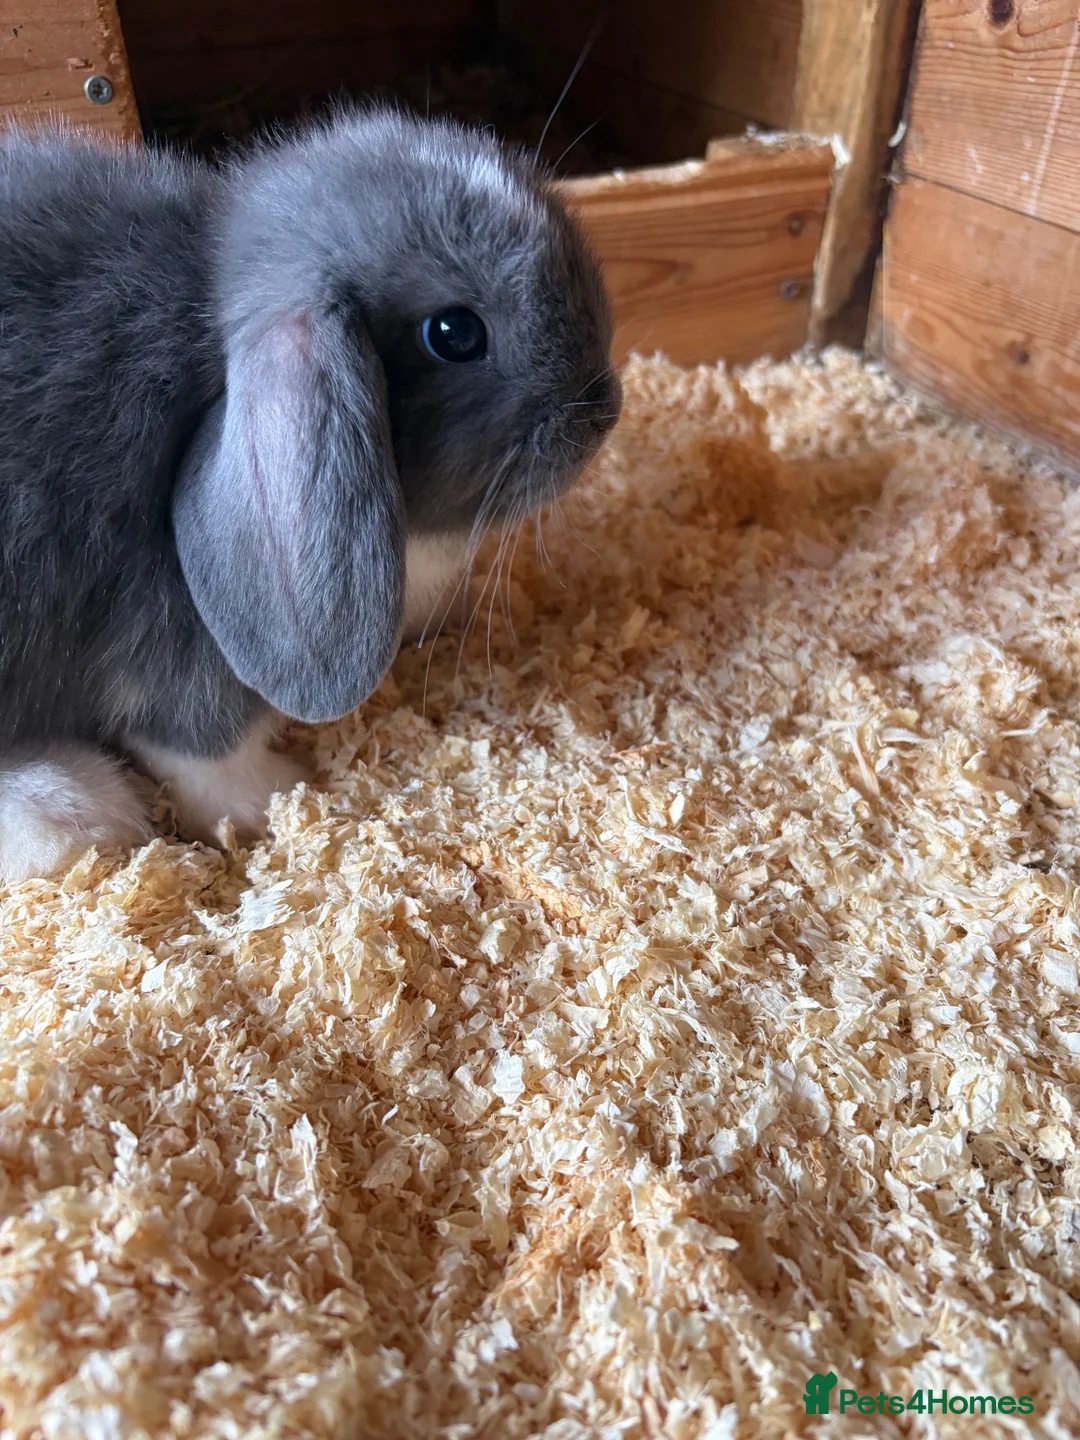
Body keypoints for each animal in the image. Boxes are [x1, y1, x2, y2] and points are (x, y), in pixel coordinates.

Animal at [0, 108, 621, 884]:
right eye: (454, 333)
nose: (604, 410)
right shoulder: (167, 645)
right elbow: (203, 751)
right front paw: (278, 796)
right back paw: (73, 814)